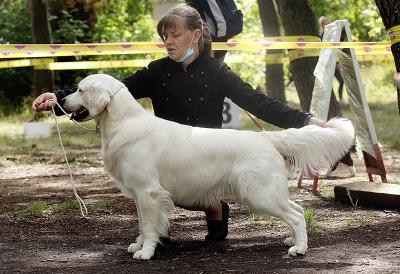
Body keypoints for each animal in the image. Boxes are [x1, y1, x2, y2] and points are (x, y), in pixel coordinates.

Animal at [61, 74, 354, 260]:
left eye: (80, 89)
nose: (61, 100)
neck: (122, 123)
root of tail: (265, 137)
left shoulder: (149, 192)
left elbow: (150, 226)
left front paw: (146, 252)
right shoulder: (139, 195)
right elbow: (144, 224)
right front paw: (139, 245)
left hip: (260, 194)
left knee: (295, 215)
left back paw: (299, 249)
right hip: (267, 193)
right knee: (298, 210)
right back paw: (293, 241)